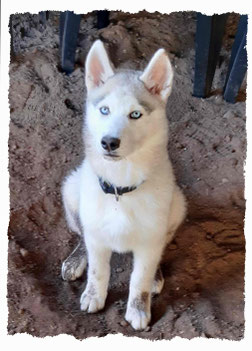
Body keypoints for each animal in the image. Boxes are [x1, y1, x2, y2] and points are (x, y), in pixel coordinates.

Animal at [61, 40, 187, 332]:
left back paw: (156, 275)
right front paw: (94, 296)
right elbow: (98, 270)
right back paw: (76, 259)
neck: (120, 187)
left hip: (177, 204)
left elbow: (139, 279)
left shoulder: (150, 239)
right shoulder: (96, 234)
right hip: (72, 189)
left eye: (136, 114)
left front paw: (139, 309)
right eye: (104, 110)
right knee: (81, 235)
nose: (109, 142)